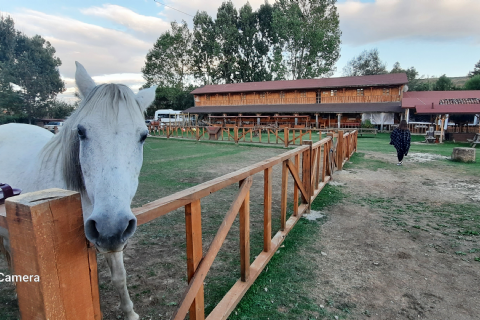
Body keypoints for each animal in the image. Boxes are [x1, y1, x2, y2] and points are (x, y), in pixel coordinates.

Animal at [0, 62, 155, 320]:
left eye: (143, 136)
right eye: (81, 132)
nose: (110, 227)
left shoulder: (113, 236)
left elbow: (120, 277)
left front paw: (130, 313)